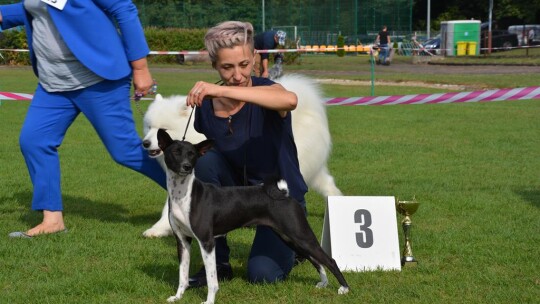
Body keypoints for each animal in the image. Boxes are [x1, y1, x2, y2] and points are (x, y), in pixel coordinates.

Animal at [141, 73, 340, 238]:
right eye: (149, 127)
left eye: (163, 130)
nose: (145, 143)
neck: (193, 134)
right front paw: (158, 228)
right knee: (327, 183)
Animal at [156, 129, 350, 302]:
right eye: (175, 152)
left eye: (192, 154)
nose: (186, 167)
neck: (184, 194)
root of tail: (284, 194)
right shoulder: (182, 240)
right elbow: (183, 275)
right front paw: (177, 297)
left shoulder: (206, 241)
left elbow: (212, 281)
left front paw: (209, 301)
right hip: (289, 237)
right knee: (315, 259)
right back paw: (323, 283)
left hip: (300, 234)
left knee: (329, 259)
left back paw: (344, 288)